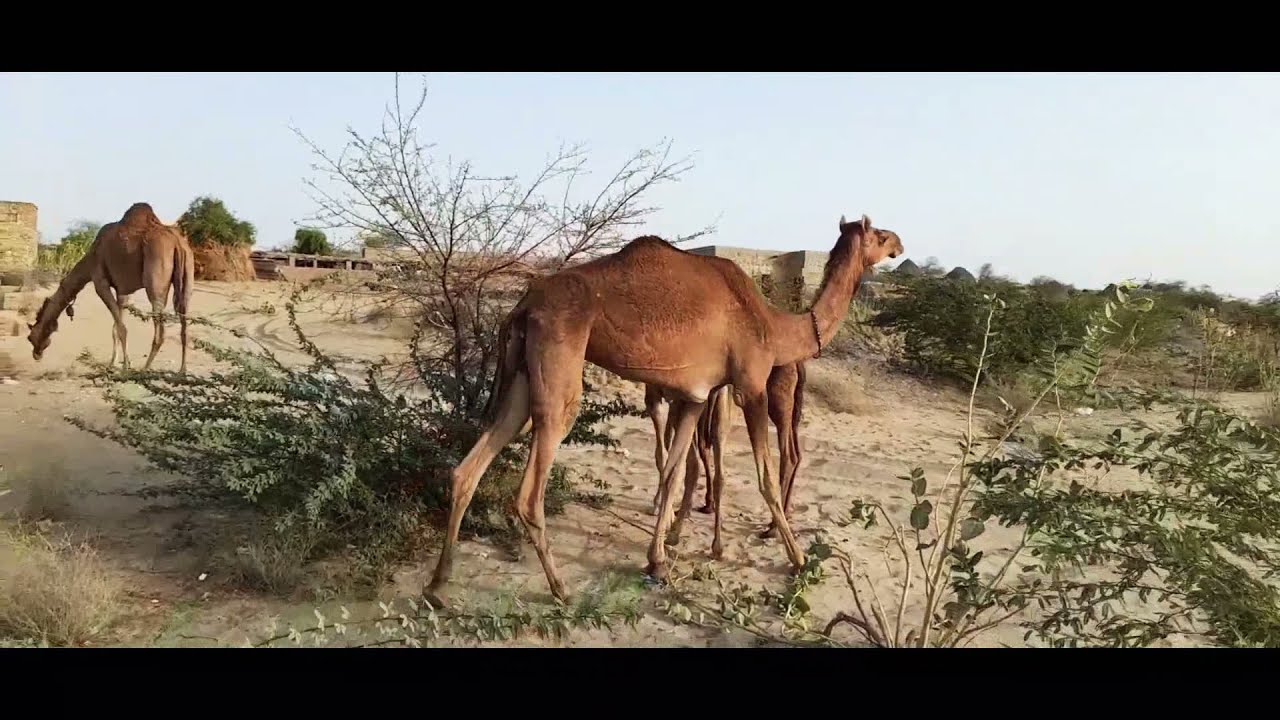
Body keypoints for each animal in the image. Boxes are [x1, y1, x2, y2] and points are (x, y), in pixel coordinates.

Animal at [27, 202, 194, 373]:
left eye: (30, 337)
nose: (36, 354)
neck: (89, 259)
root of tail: (177, 243)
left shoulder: (100, 282)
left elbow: (121, 328)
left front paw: (125, 366)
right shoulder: (123, 291)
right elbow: (115, 327)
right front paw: (113, 363)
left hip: (156, 277)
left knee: (160, 329)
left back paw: (144, 369)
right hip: (188, 273)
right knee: (185, 325)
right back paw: (182, 370)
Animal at [423, 213, 902, 606]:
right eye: (879, 234)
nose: (899, 243)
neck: (775, 326)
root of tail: (523, 306)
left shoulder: (694, 396)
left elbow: (672, 472)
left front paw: (658, 560)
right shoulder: (749, 386)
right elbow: (762, 476)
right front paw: (798, 558)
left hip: (523, 373)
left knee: (470, 466)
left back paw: (438, 585)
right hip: (559, 355)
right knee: (530, 489)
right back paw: (559, 590)